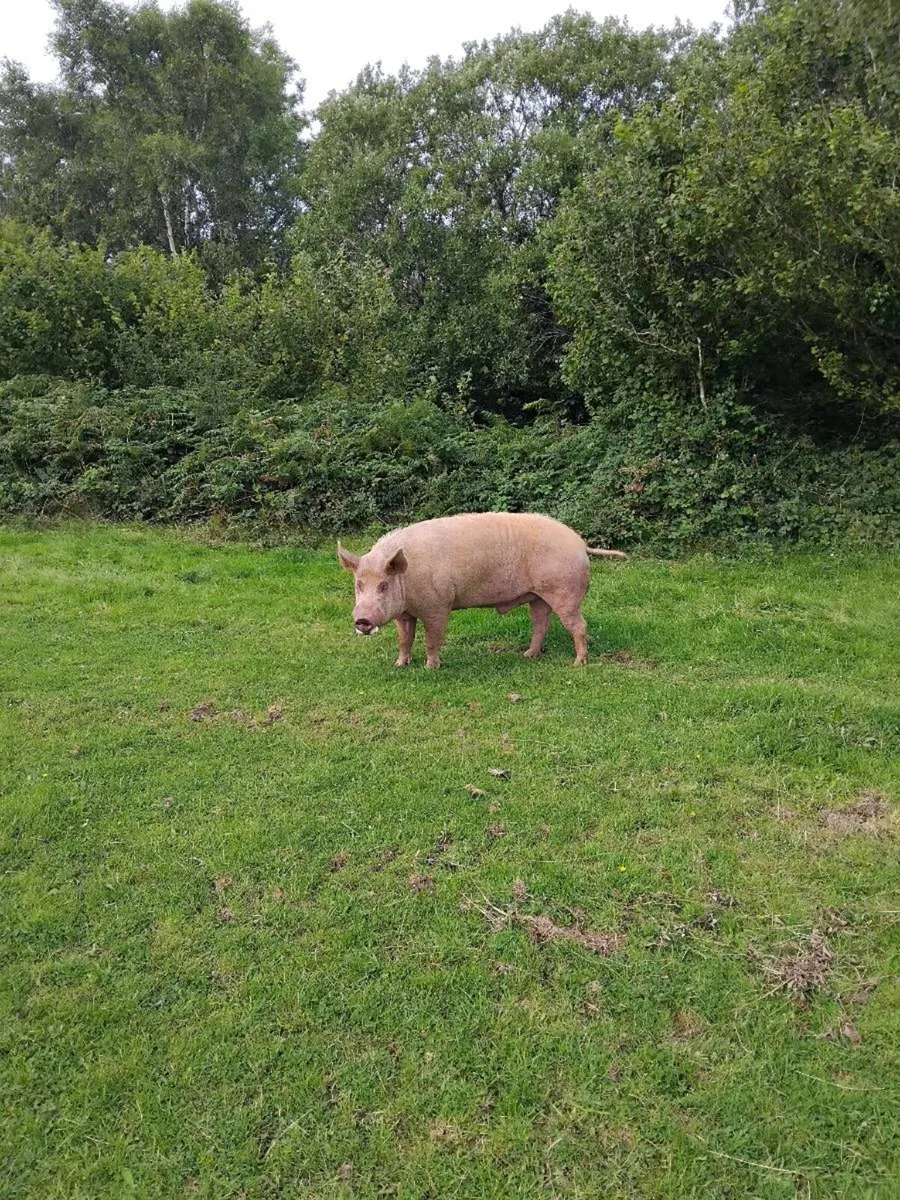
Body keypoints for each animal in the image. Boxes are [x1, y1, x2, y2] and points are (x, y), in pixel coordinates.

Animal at [337, 512, 625, 668]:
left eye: (384, 585)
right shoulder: (405, 614)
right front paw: (399, 665)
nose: (362, 620)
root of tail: (580, 544)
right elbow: (405, 640)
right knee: (541, 624)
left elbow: (432, 640)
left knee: (579, 626)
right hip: (538, 596)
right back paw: (527, 655)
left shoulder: (438, 606)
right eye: (358, 585)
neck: (407, 579)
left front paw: (431, 668)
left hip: (565, 592)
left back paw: (578, 663)